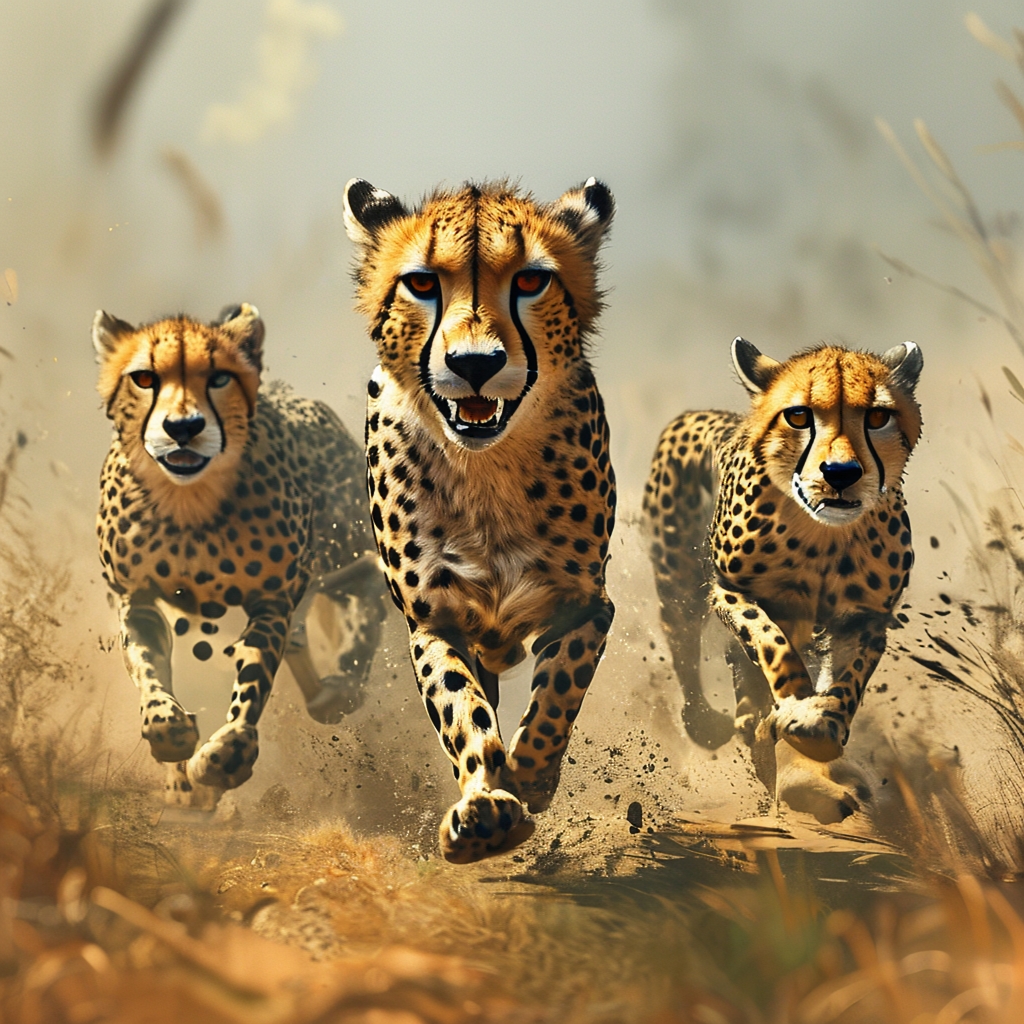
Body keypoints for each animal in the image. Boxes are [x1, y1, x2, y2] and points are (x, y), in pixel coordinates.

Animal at [94, 303, 386, 797]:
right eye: (145, 378)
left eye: (218, 378)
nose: (183, 428)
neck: (189, 500)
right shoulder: (136, 596)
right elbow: (148, 667)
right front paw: (170, 729)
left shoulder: (271, 598)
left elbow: (255, 675)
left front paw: (227, 754)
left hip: (345, 537)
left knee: (373, 584)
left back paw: (342, 683)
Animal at [343, 177, 617, 863]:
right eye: (421, 283)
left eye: (530, 281)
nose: (473, 363)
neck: (486, 468)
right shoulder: (433, 620)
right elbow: (461, 707)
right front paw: (486, 805)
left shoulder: (588, 604)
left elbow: (562, 685)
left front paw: (534, 774)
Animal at [644, 337, 923, 821]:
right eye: (798, 416)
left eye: (877, 417)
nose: (841, 473)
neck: (823, 536)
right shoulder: (732, 590)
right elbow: (771, 642)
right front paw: (798, 707)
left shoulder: (866, 618)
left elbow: (848, 680)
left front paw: (819, 724)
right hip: (675, 581)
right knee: (685, 648)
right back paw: (708, 722)